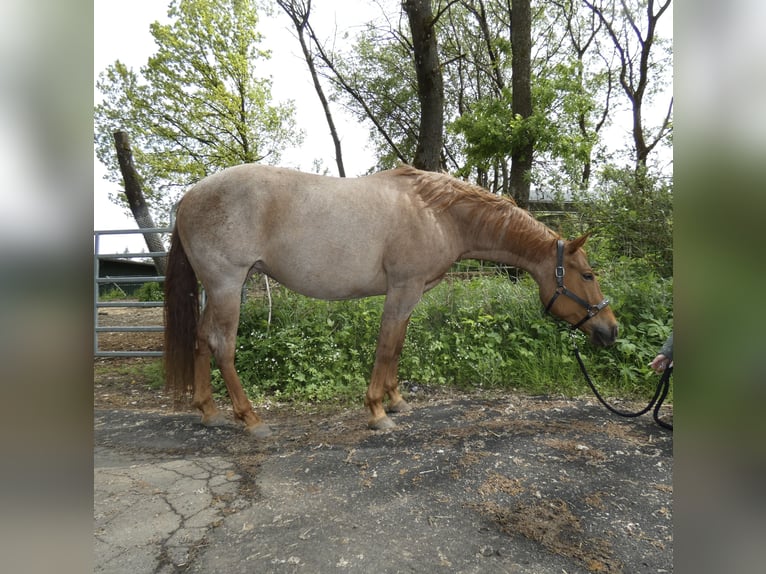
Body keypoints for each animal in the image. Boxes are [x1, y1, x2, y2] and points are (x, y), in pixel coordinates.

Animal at [164, 164, 618, 437]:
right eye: (589, 275)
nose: (610, 330)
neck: (438, 214)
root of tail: (188, 197)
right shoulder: (403, 288)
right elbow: (385, 346)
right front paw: (377, 411)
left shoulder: (410, 293)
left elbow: (397, 345)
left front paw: (396, 400)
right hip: (228, 286)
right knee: (223, 345)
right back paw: (251, 419)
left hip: (217, 290)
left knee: (201, 339)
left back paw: (209, 411)